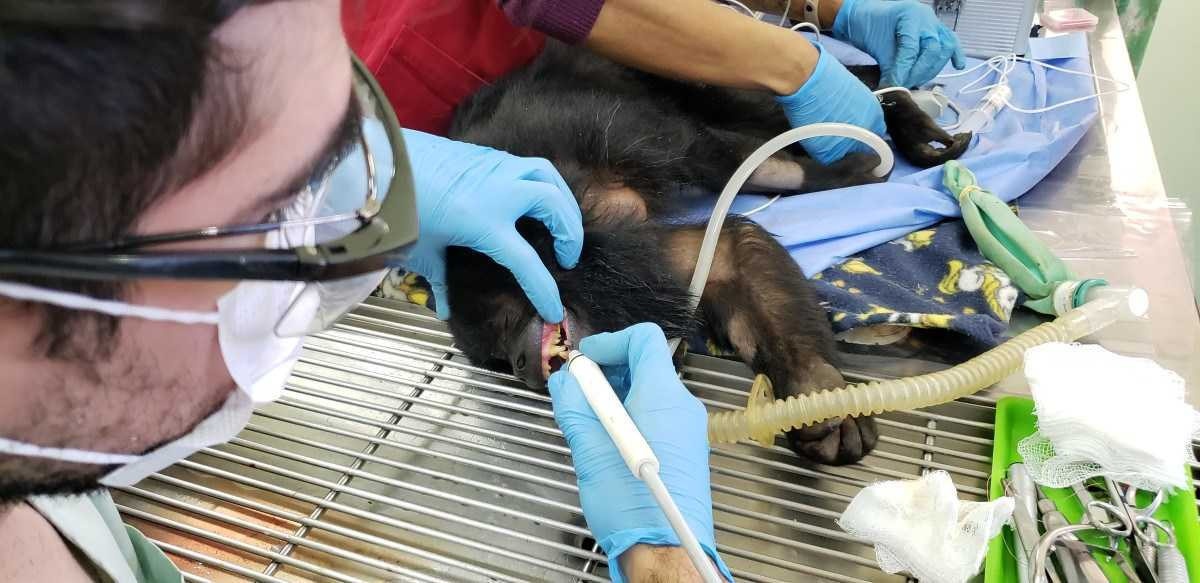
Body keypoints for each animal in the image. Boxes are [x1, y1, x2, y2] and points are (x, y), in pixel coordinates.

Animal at [436, 41, 969, 465]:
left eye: (505, 324)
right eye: (498, 361)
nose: (521, 365)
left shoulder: (595, 166)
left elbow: (728, 163)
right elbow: (731, 256)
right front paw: (815, 395)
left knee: (785, 96)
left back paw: (901, 115)